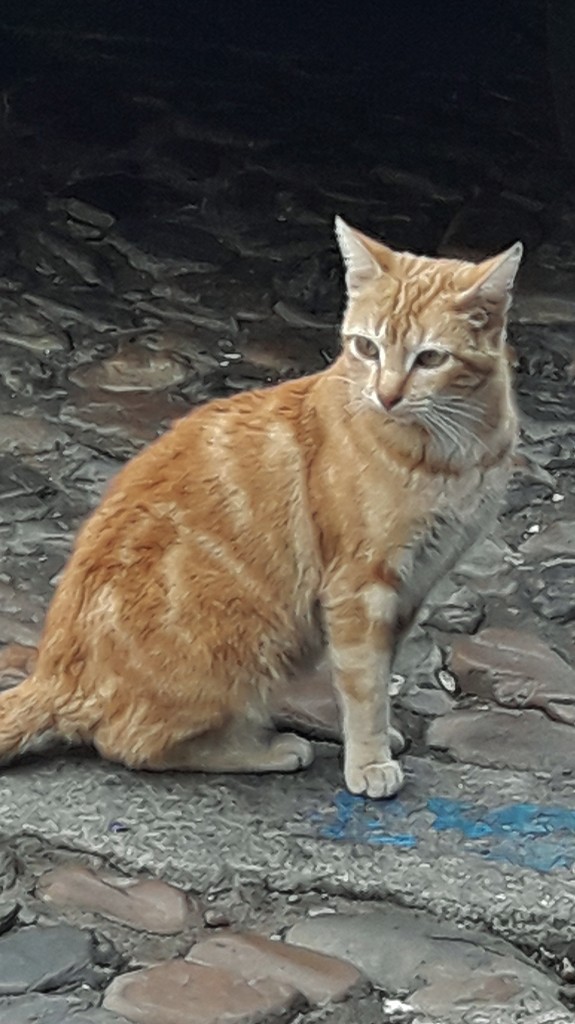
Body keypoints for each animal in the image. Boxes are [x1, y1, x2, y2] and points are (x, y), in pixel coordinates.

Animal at [0, 222, 519, 798]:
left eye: (429, 359)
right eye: (366, 348)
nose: (385, 395)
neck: (456, 452)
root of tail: (53, 673)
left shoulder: (415, 585)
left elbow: (379, 674)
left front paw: (375, 737)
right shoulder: (360, 586)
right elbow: (364, 683)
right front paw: (368, 760)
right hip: (245, 638)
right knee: (127, 743)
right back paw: (266, 748)